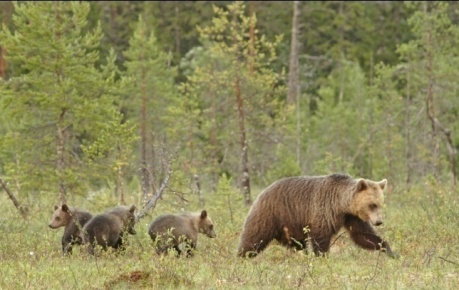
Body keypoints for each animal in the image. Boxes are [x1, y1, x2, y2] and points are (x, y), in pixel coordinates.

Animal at [239, 174, 398, 258]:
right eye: (372, 205)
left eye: (380, 204)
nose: (379, 222)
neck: (341, 204)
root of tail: (264, 191)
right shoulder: (324, 210)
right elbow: (320, 238)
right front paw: (322, 257)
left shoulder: (351, 216)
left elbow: (362, 235)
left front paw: (391, 252)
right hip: (271, 214)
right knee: (254, 237)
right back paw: (242, 257)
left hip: (291, 225)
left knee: (298, 244)